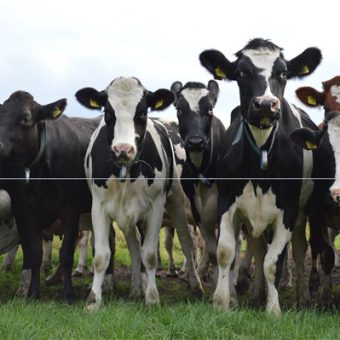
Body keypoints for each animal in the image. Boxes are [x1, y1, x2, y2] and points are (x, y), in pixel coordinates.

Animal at [0, 91, 99, 302]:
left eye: (26, 118)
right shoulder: (24, 209)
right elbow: (33, 253)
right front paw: (32, 293)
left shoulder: (71, 208)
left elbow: (66, 253)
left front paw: (68, 295)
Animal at [75, 77, 202, 310]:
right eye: (108, 112)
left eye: (142, 112)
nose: (123, 149)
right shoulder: (98, 206)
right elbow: (102, 256)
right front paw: (93, 300)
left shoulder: (156, 207)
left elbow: (150, 254)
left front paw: (152, 297)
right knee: (134, 246)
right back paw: (135, 289)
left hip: (177, 201)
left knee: (187, 241)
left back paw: (195, 285)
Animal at [199, 38, 322, 314]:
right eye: (241, 74)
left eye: (284, 73)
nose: (266, 104)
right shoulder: (227, 202)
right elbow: (226, 252)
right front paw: (221, 302)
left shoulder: (287, 211)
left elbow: (273, 262)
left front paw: (273, 310)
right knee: (256, 248)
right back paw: (256, 293)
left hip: (301, 216)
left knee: (299, 251)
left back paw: (302, 297)